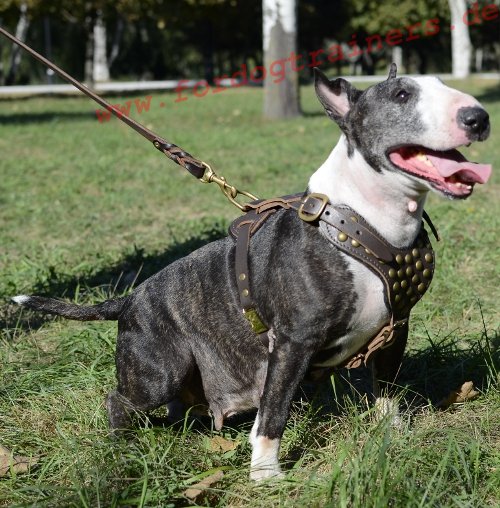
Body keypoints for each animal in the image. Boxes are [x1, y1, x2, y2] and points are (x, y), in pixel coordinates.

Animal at [12, 64, 492, 480]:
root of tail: (128, 298)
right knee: (118, 399)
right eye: (401, 95)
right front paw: (266, 475)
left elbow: (387, 390)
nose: (479, 117)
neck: (360, 222)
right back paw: (120, 447)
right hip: (160, 371)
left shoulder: (397, 329)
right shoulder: (293, 341)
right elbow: (273, 412)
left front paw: (393, 437)